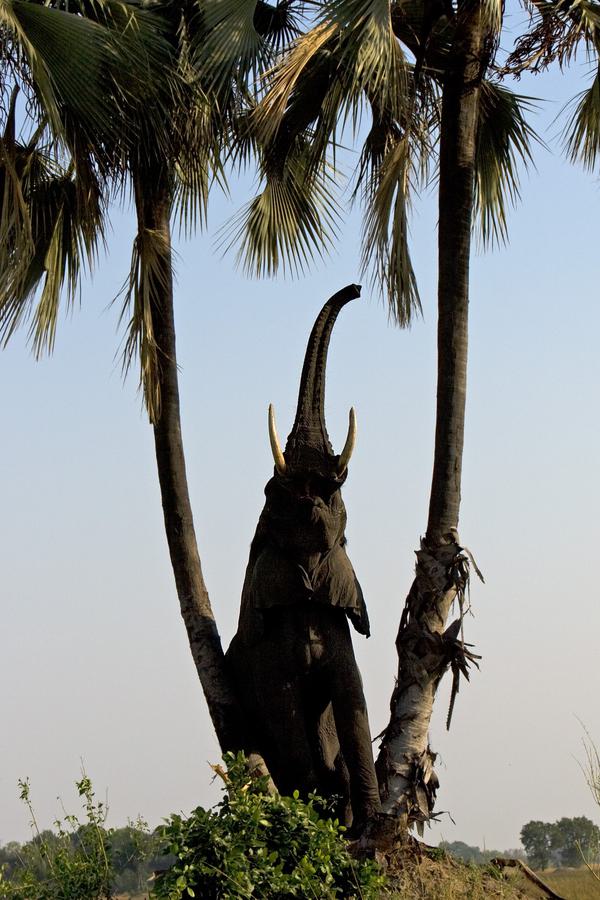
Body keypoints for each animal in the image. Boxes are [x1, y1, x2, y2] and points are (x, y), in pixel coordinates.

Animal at [226, 284, 381, 833]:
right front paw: (319, 816)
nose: (356, 289)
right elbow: (287, 713)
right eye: (272, 493)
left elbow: (353, 702)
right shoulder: (267, 654)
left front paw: (368, 825)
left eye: (335, 497)